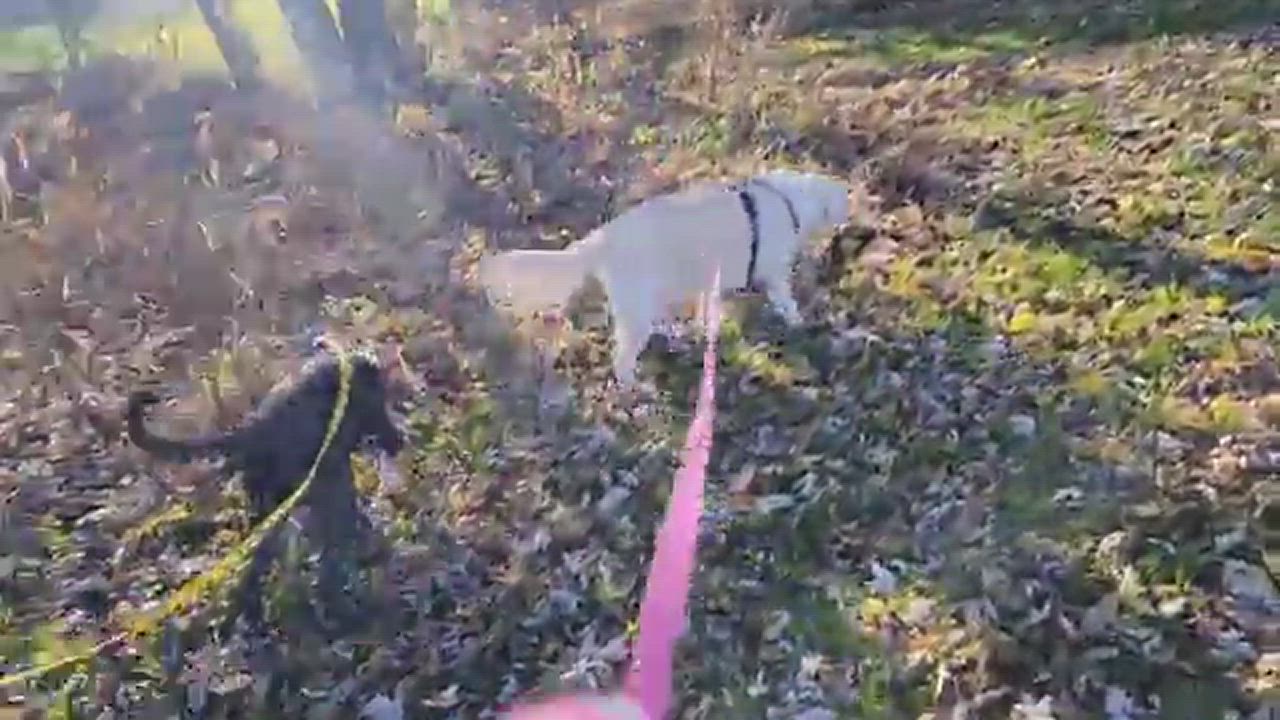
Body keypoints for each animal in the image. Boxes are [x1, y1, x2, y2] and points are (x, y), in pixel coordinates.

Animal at [125, 351, 401, 630]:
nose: (397, 443)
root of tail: (257, 430)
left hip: (267, 509)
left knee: (254, 568)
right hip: (322, 493)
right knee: (329, 560)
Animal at [476, 167, 844, 384]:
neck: (784, 201)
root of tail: (600, 239)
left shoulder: (709, 282)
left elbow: (706, 310)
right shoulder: (774, 273)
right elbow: (787, 303)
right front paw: (799, 323)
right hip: (639, 309)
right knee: (621, 360)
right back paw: (637, 388)